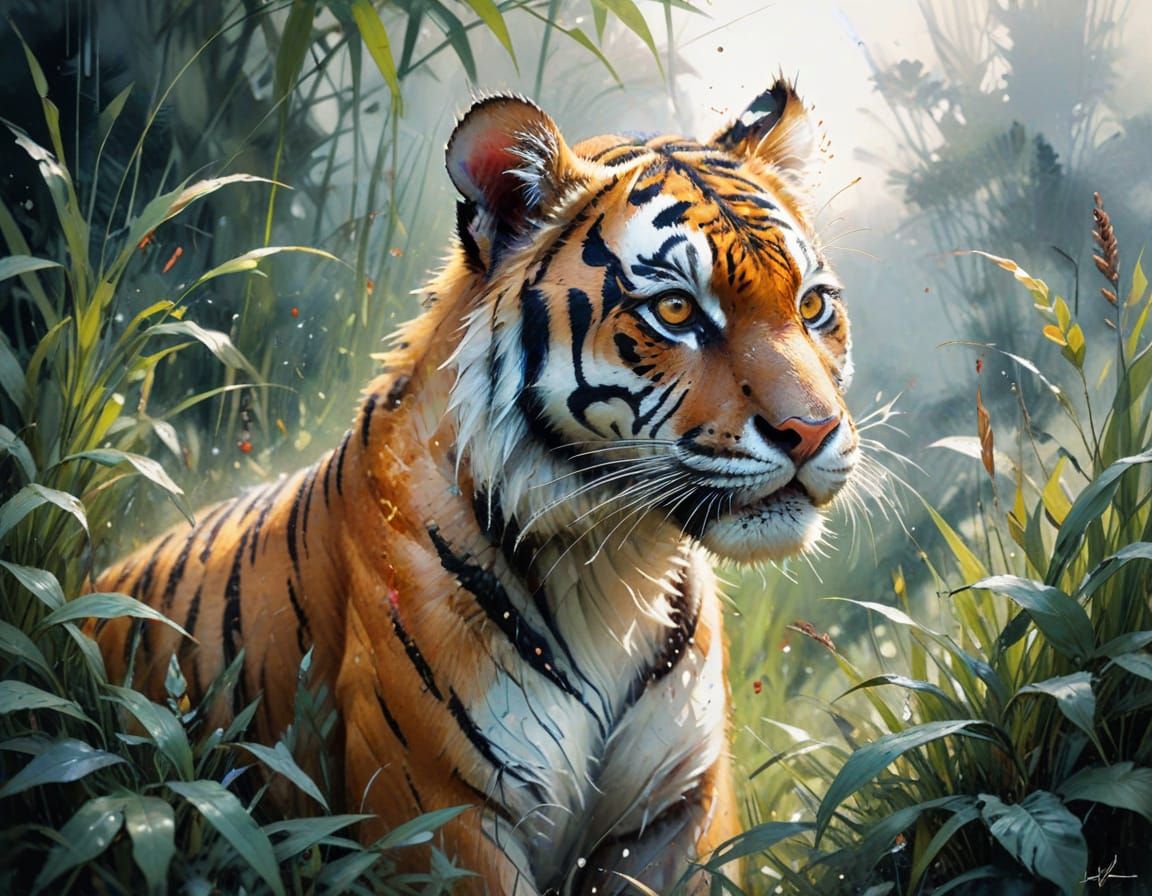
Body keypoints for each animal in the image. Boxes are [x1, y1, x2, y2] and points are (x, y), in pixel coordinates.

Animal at [95, 79, 858, 895]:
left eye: (812, 305)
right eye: (676, 309)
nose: (811, 430)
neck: (617, 565)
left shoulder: (677, 808)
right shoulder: (441, 808)